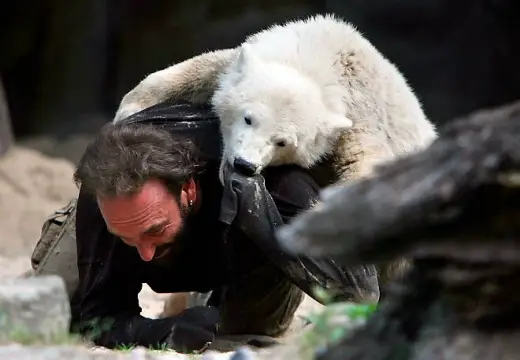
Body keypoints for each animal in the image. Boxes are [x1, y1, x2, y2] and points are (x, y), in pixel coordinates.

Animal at [115, 14, 438, 186]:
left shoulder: (360, 123)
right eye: (248, 118)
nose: (244, 165)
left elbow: (363, 168)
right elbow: (206, 68)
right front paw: (129, 110)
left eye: (283, 142)